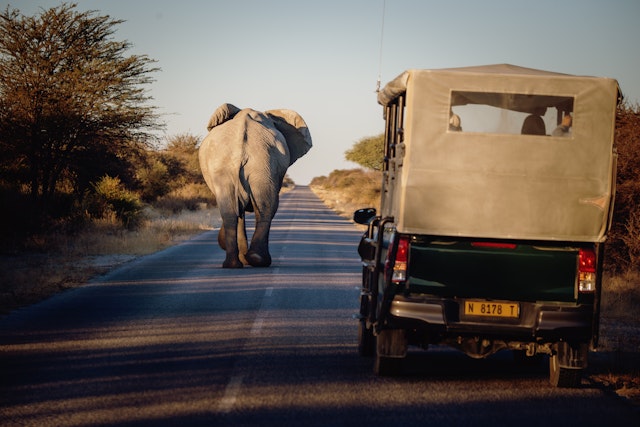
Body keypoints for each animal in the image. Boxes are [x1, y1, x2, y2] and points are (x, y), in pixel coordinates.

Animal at [199, 103, 312, 268]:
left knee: (236, 211)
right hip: (253, 164)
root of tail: (241, 147)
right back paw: (252, 261)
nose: (221, 242)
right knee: (262, 208)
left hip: (257, 165)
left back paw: (242, 262)